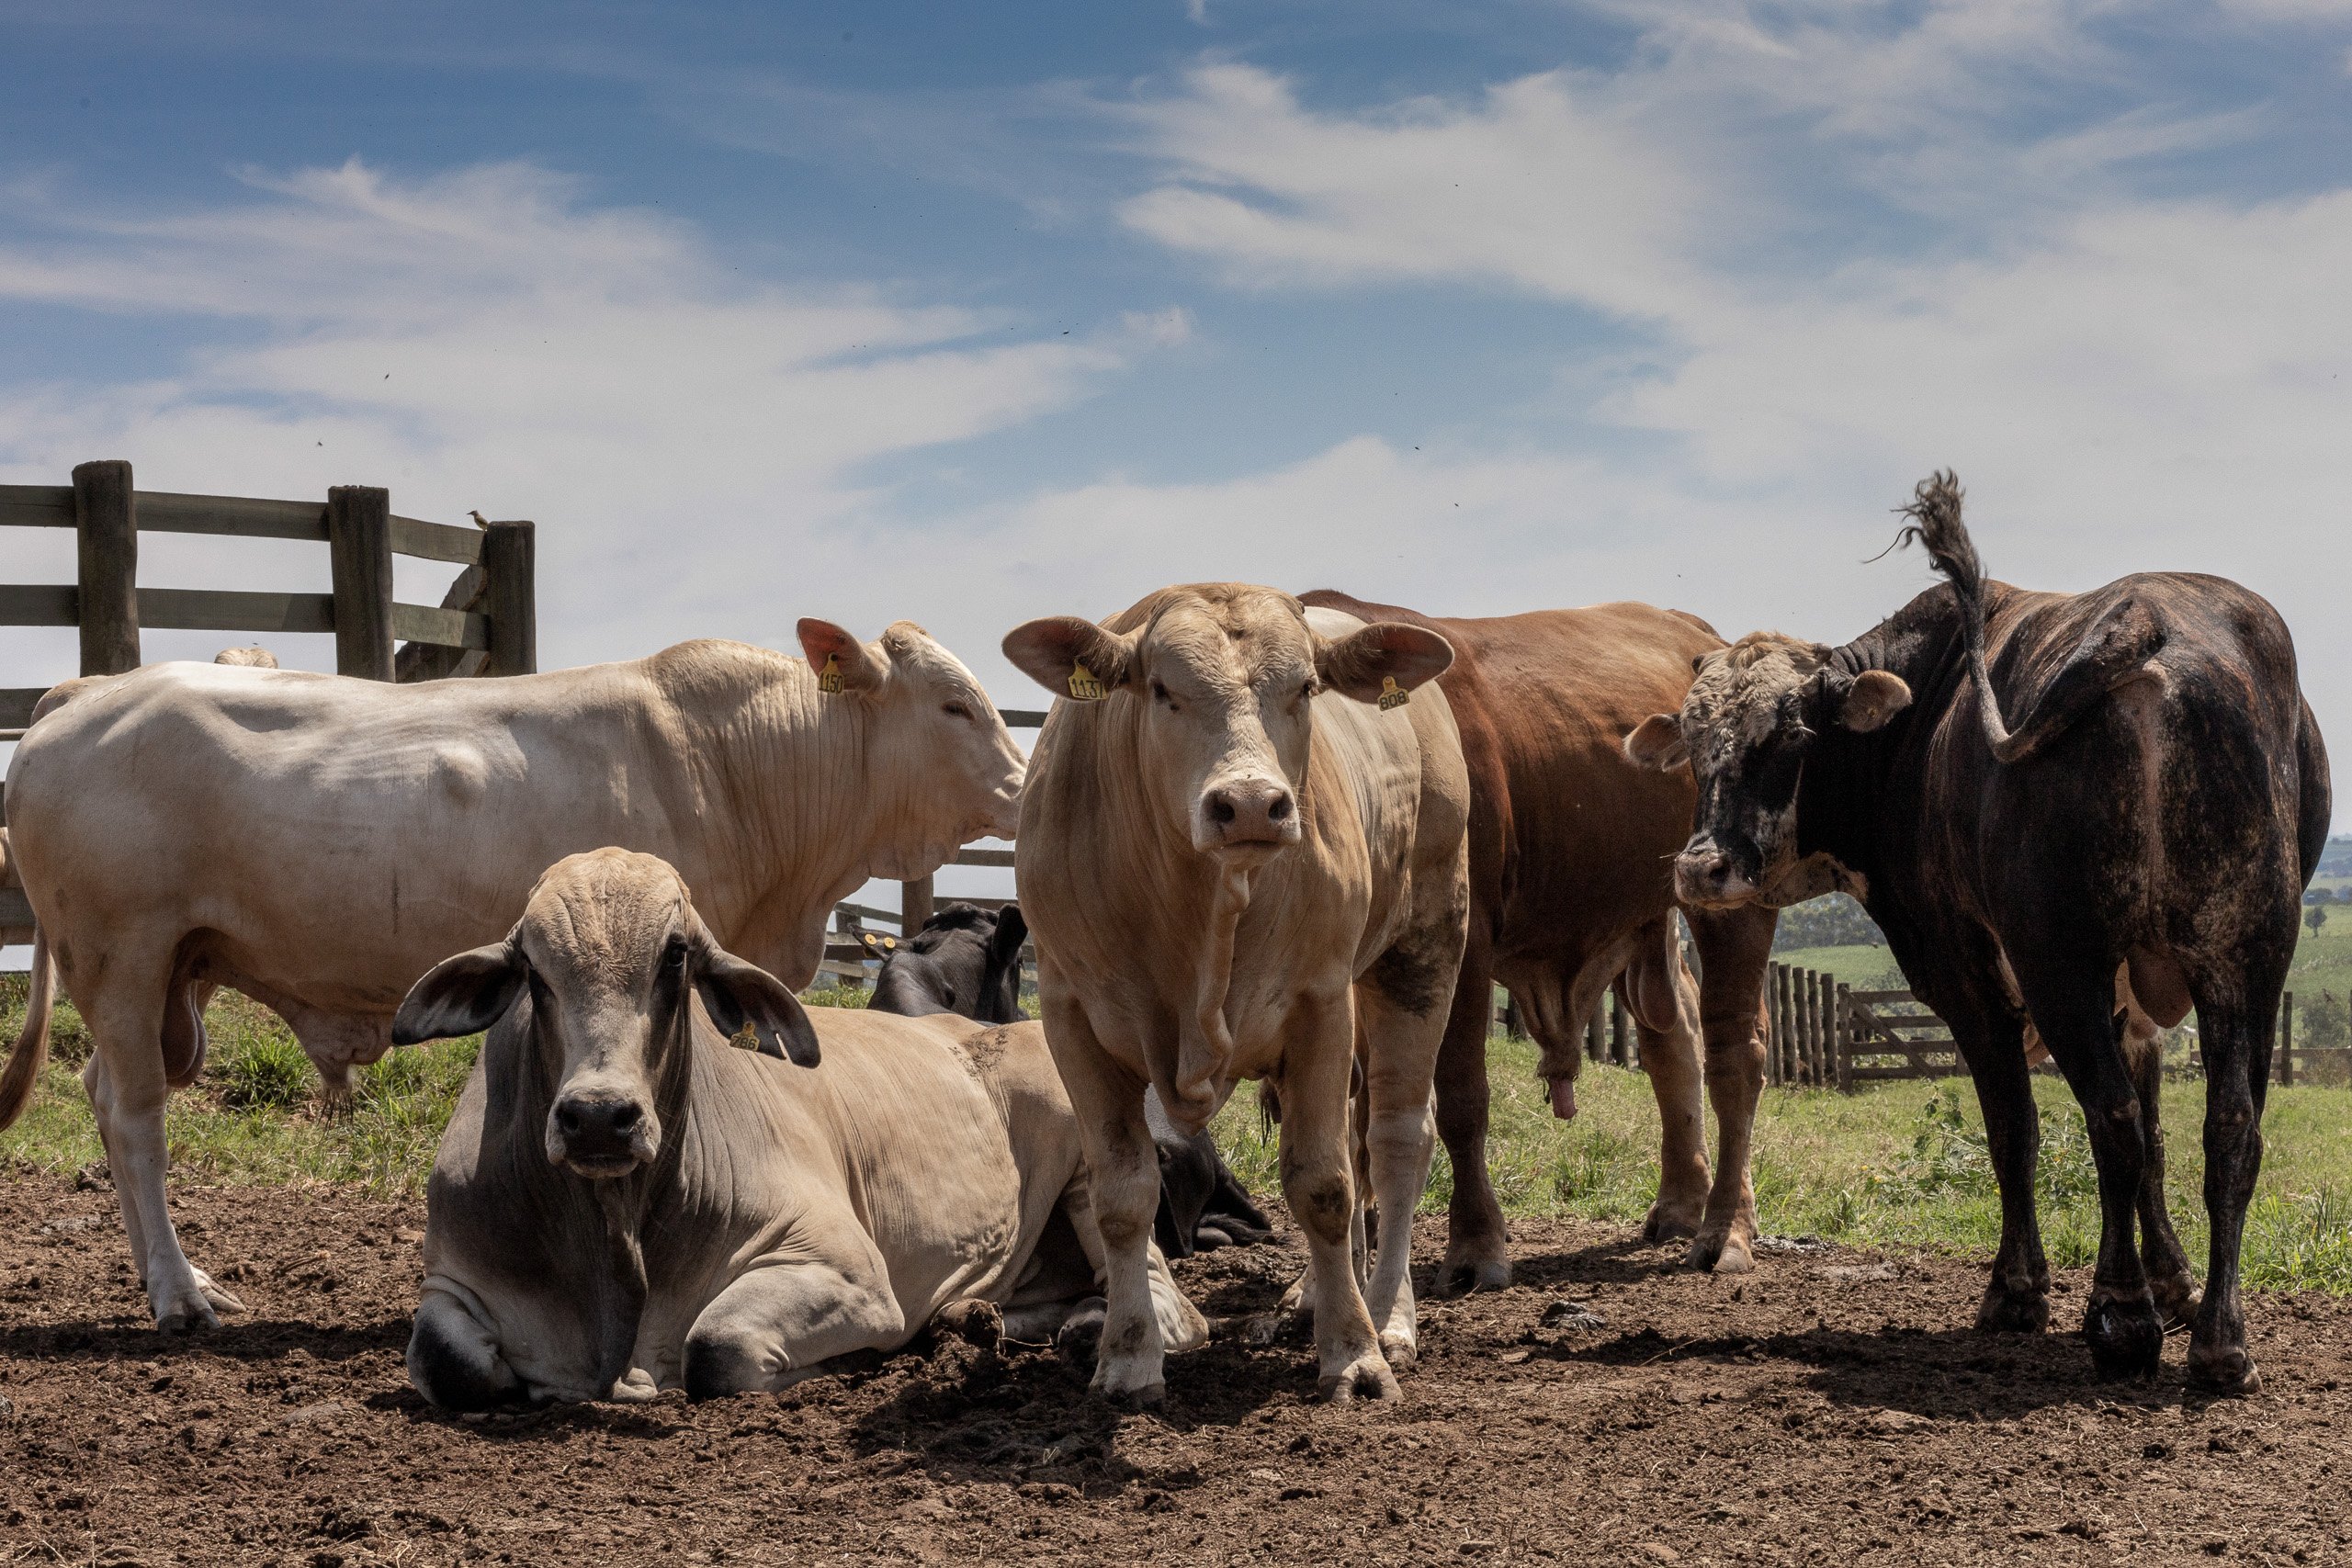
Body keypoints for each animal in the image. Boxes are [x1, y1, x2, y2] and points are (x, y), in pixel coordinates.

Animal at [0, 620, 1024, 1332]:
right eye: (955, 707)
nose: (1025, 785)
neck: (739, 769)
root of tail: (87, 692)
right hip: (123, 955)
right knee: (137, 1120)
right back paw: (179, 1294)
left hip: (181, 967)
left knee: (105, 1096)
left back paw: (171, 1277)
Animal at [394, 848, 1204, 1407]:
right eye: (533, 970)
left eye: (676, 958)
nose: (599, 1117)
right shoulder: (451, 1277)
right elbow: (445, 1359)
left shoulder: (845, 1268)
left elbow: (714, 1347)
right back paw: (979, 1316)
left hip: (1095, 1160)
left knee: (1169, 1297)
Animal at [1005, 585, 1470, 1404]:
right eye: (1163, 690)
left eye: (1306, 688)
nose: (1252, 804)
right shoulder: (1071, 1017)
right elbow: (1122, 1192)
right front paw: (1129, 1356)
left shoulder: (1321, 1002)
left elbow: (1322, 1183)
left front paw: (1354, 1353)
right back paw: (1318, 1292)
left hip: (1422, 949)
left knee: (1393, 1140)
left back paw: (1387, 1311)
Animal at [1304, 592, 1779, 1287]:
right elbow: (1351, 1113)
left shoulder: (1462, 941)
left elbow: (1461, 1098)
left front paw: (1476, 1244)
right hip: (1649, 912)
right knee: (1674, 1039)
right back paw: (1680, 1202)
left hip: (1730, 905)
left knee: (1735, 1054)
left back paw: (1728, 1228)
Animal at [1624, 473, 2329, 1393]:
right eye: (1695, 741)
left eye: (1791, 735)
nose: (1701, 868)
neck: (1915, 729)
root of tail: (2149, 621)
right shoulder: (2132, 1003)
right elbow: (2156, 1132)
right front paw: (2172, 1282)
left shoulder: (1968, 980)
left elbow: (2017, 1129)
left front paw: (2022, 1290)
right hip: (2246, 960)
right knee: (2229, 1129)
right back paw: (2220, 1340)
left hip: (2061, 962)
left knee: (2108, 1120)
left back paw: (2121, 1319)